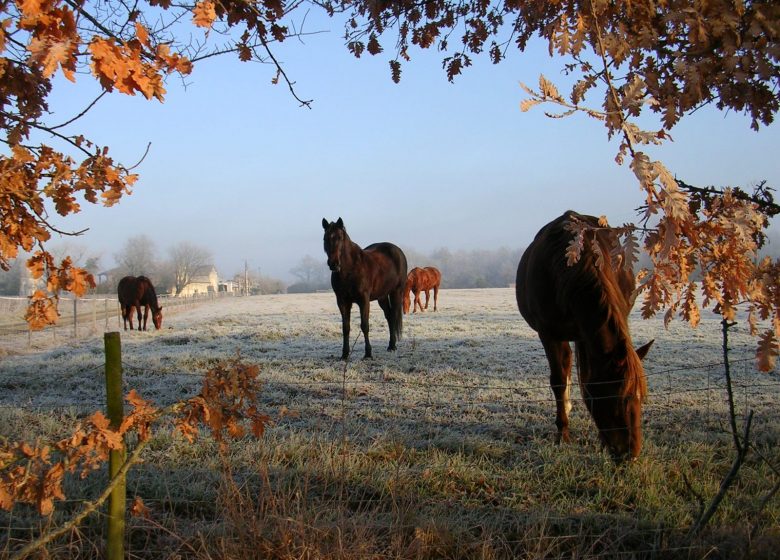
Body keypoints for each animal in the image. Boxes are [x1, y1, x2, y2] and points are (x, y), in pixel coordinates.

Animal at [322, 217, 408, 360]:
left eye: (340, 237)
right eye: (325, 238)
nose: (333, 264)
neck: (350, 269)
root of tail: (398, 251)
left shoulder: (364, 300)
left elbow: (365, 325)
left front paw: (368, 354)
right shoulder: (342, 301)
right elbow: (346, 327)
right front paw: (345, 354)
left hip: (396, 292)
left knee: (394, 315)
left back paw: (393, 346)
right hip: (382, 297)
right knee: (389, 317)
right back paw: (390, 345)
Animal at [516, 210, 656, 460]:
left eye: (641, 398)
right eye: (619, 397)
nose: (631, 454)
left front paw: (600, 440)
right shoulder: (549, 334)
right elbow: (558, 381)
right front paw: (562, 434)